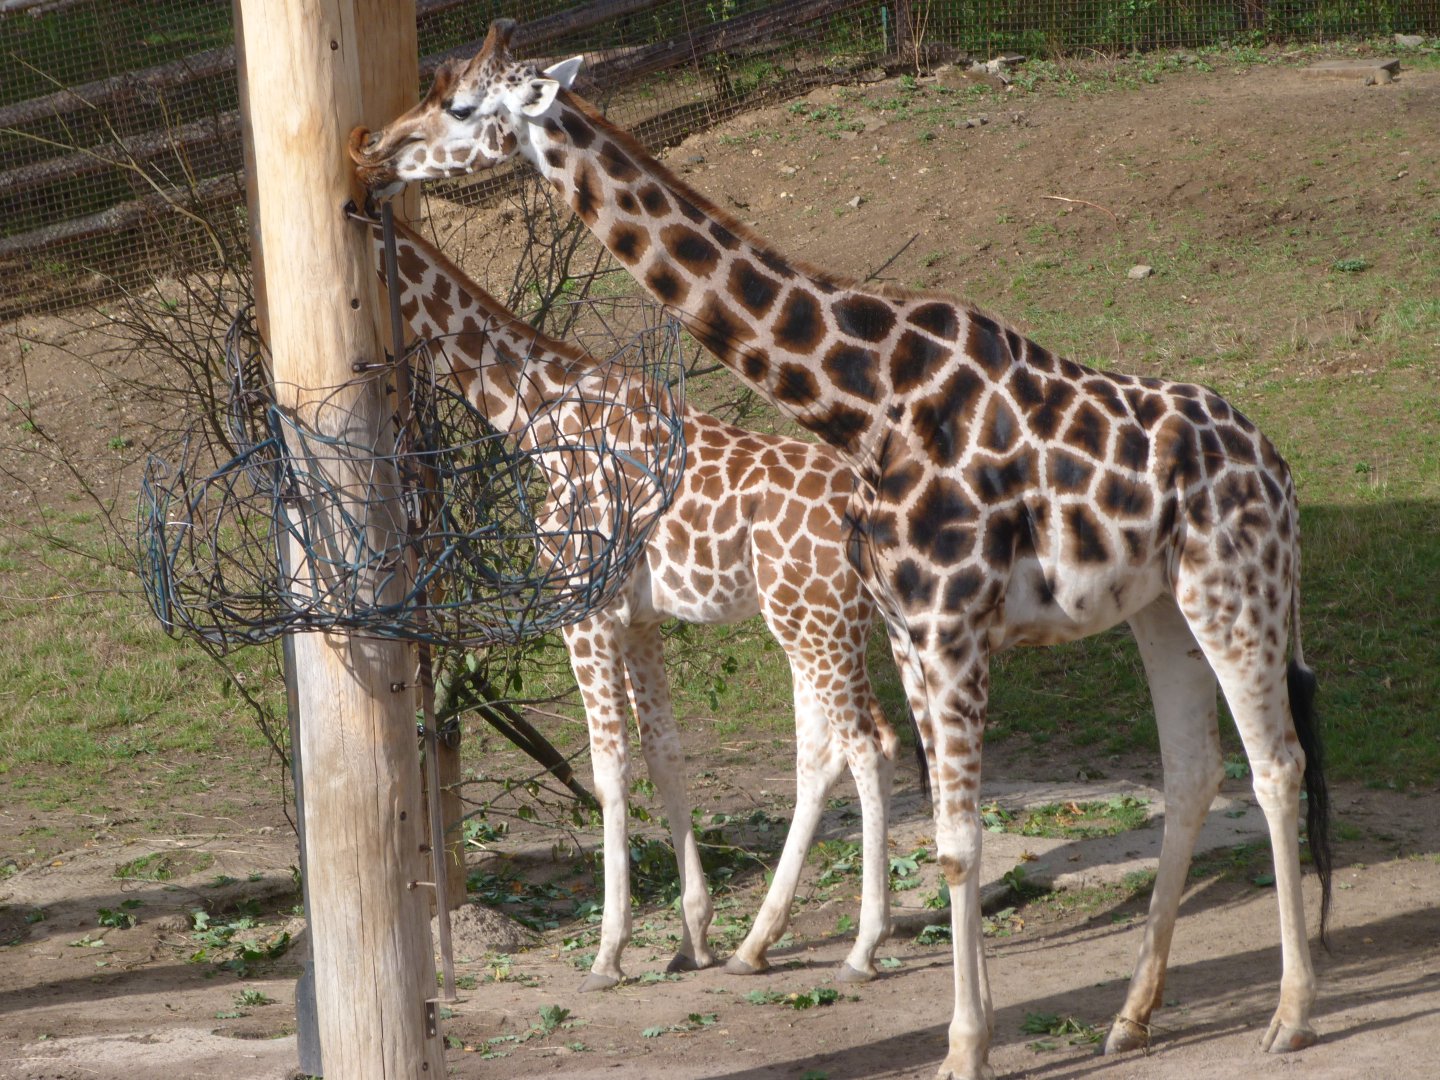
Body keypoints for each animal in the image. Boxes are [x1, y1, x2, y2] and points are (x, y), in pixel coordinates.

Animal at [353, 206, 900, 990]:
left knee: (867, 748)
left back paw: (862, 948)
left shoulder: (585, 609)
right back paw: (755, 943)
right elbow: (664, 754)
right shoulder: (640, 619)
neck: (534, 417)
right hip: (821, 625)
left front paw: (609, 952)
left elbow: (608, 770)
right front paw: (693, 936)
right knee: (821, 756)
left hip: (815, 623)